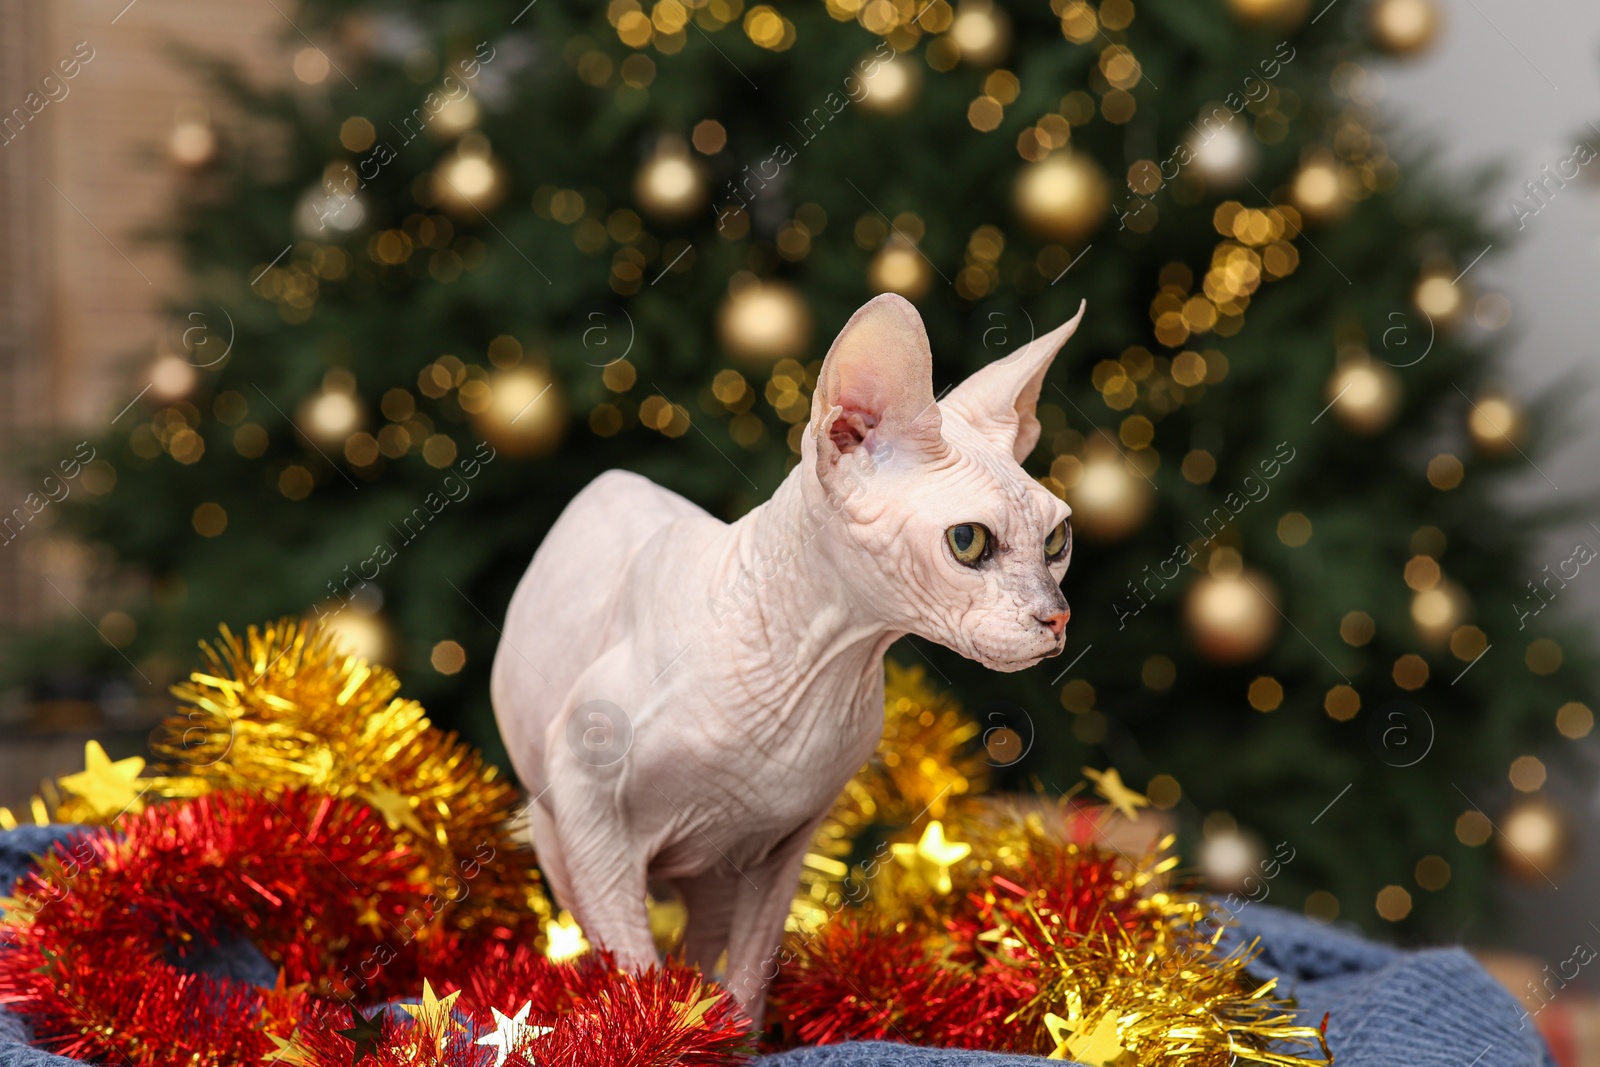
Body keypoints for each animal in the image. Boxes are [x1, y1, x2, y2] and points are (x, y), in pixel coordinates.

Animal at [489, 292, 1088, 1023]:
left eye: (1057, 540)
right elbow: (631, 964)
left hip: (710, 869)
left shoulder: (780, 849)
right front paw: (646, 1028)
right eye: (968, 541)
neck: (816, 666)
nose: (1056, 617)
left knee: (701, 946)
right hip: (556, 832)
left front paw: (722, 1034)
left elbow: (747, 981)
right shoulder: (586, 807)